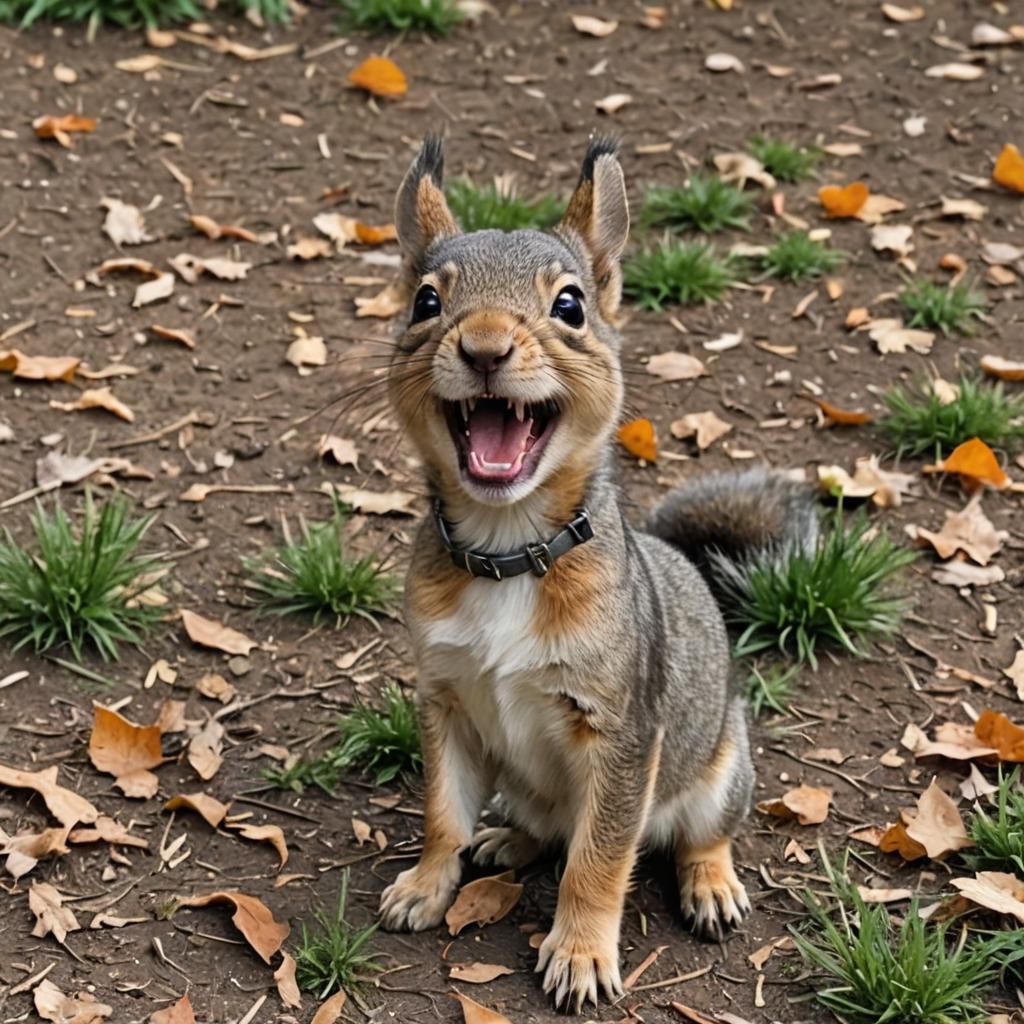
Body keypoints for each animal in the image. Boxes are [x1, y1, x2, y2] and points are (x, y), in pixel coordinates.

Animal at [377, 135, 817, 1013]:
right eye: (425, 302)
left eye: (572, 307)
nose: (484, 347)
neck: (507, 549)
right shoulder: (444, 698)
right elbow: (442, 812)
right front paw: (423, 885)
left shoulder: (622, 730)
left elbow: (599, 857)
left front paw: (579, 955)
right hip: (522, 781)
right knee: (541, 828)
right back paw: (504, 839)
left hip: (716, 769)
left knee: (698, 835)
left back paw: (711, 884)